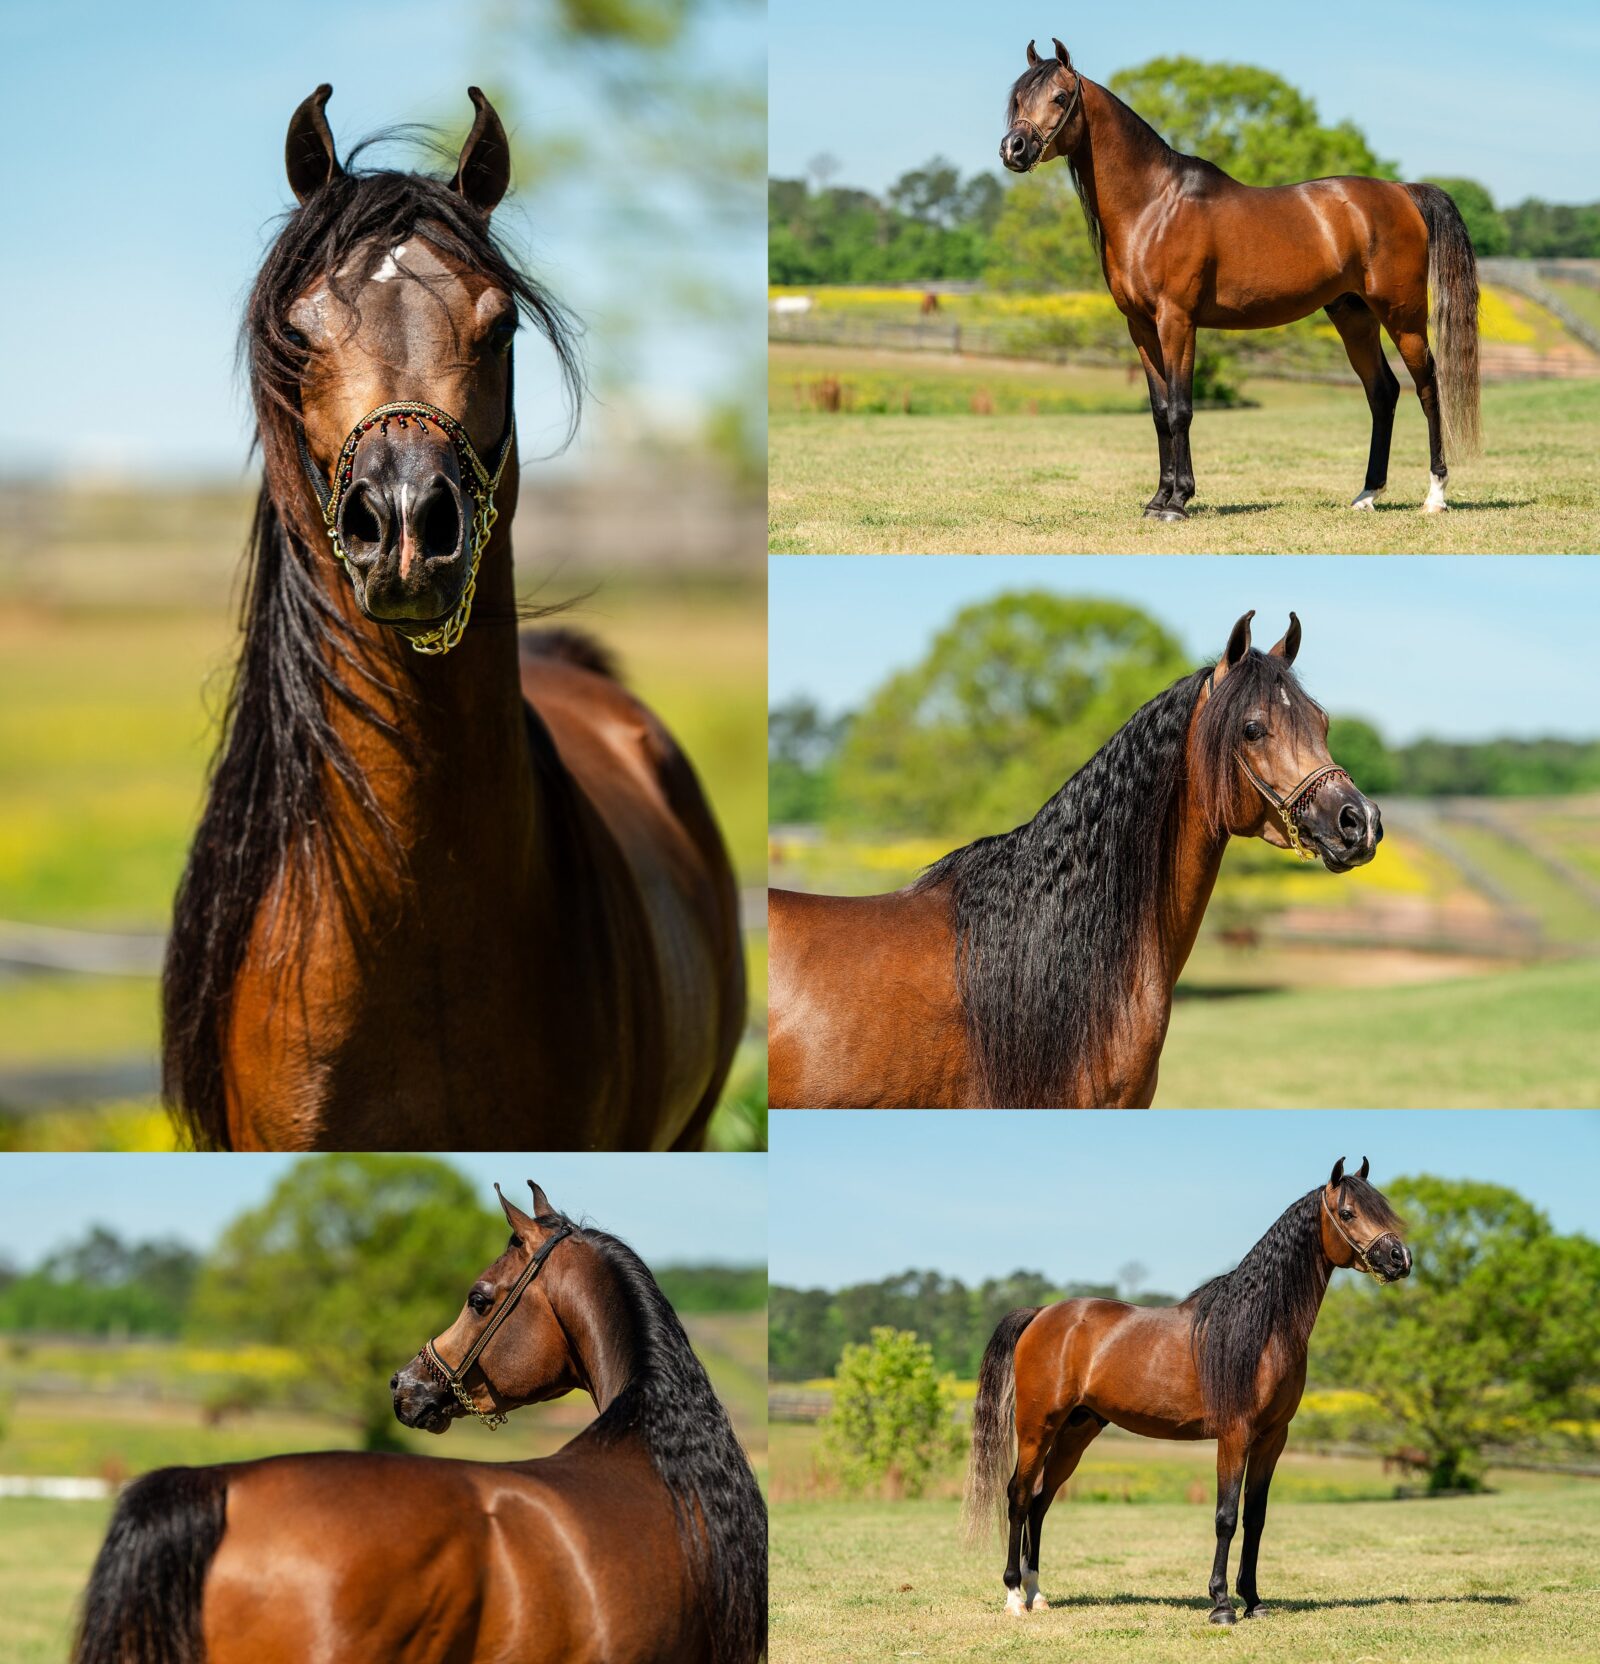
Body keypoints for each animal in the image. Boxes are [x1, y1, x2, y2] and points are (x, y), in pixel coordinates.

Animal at [963, 1158, 1412, 1625]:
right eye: (1348, 1213)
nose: (1400, 1258)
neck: (1260, 1330)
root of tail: (1041, 1314)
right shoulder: (1234, 1434)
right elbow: (1226, 1517)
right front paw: (1221, 1604)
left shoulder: (1272, 1438)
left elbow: (1255, 1517)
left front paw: (1253, 1600)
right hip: (1036, 1427)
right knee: (1018, 1496)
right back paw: (1015, 1595)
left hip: (1076, 1431)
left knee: (1040, 1499)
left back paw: (1037, 1593)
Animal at [1000, 40, 1481, 520]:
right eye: (1018, 99)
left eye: (1060, 97)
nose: (1013, 149)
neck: (1154, 205)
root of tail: (1403, 191)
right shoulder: (1140, 327)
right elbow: (1159, 411)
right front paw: (1157, 500)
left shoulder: (1177, 322)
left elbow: (1180, 409)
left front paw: (1178, 501)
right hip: (1353, 315)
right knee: (1382, 391)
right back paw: (1367, 494)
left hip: (1404, 317)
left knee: (1428, 387)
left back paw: (1435, 495)